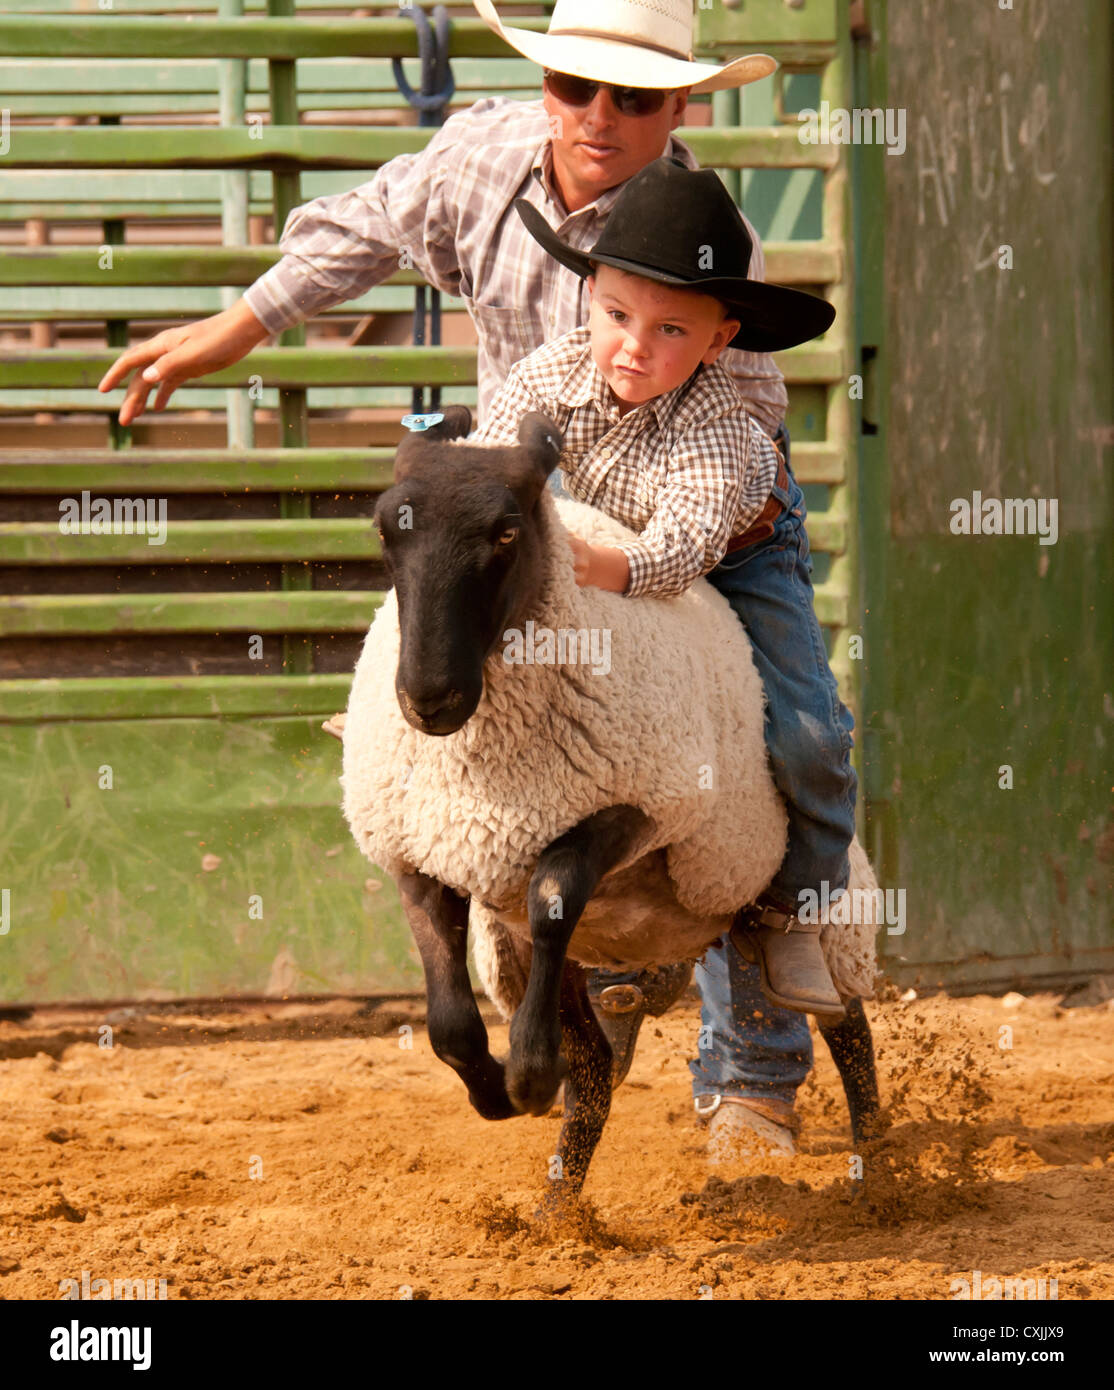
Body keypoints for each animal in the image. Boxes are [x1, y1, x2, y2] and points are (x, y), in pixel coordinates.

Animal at [341, 408, 882, 1204]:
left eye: (507, 533)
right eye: (385, 530)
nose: (429, 698)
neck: (483, 768)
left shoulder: (648, 805)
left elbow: (553, 888)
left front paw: (532, 1073)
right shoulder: (418, 848)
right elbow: (449, 1027)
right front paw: (501, 1090)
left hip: (828, 906)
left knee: (849, 1029)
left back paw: (883, 1169)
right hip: (570, 949)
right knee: (598, 1070)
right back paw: (559, 1211)